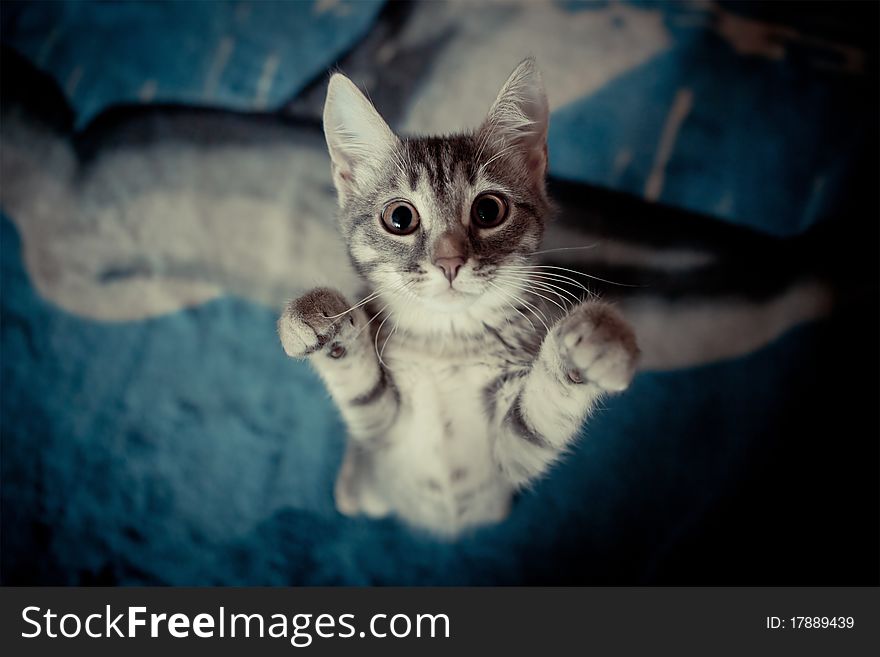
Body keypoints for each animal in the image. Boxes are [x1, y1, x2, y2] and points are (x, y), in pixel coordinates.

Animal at [278, 59, 636, 536]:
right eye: (399, 218)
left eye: (488, 210)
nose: (449, 261)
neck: (448, 341)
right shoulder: (381, 432)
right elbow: (360, 387)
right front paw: (317, 319)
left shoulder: (511, 456)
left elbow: (540, 416)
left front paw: (594, 340)